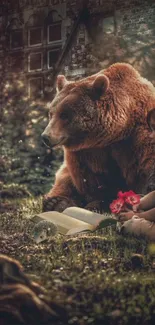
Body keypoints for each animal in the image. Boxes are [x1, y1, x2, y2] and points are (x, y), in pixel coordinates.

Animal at [41, 63, 155, 213]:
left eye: (65, 115)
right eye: (51, 113)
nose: (46, 137)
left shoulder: (139, 137)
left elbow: (146, 166)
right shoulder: (87, 152)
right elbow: (92, 180)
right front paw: (97, 202)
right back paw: (54, 202)